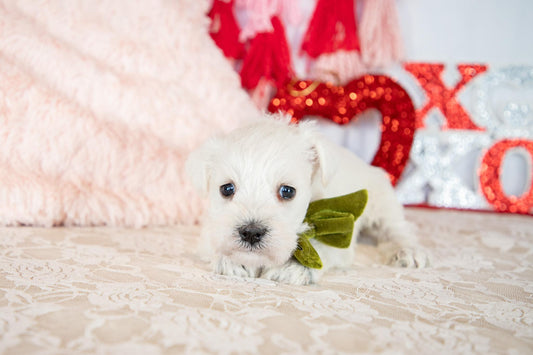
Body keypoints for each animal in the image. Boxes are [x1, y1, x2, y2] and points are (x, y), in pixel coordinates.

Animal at [187, 117, 428, 286]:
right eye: (227, 189)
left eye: (287, 191)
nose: (251, 233)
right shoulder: (210, 230)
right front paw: (232, 259)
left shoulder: (342, 229)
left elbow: (321, 245)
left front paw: (295, 267)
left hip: (382, 202)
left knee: (397, 229)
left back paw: (408, 251)